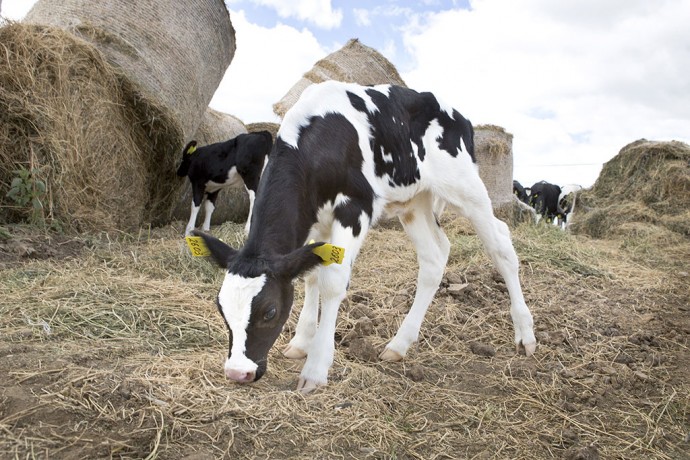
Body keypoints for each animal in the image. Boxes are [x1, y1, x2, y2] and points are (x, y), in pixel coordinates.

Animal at [194, 81, 536, 394]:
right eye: (221, 307)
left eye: (270, 311)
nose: (238, 372)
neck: (319, 138)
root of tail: (457, 115)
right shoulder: (313, 220)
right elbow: (310, 275)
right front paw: (301, 341)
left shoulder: (355, 207)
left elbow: (333, 282)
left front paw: (316, 368)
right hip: (415, 200)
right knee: (435, 255)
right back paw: (399, 344)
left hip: (466, 187)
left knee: (501, 244)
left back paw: (525, 334)